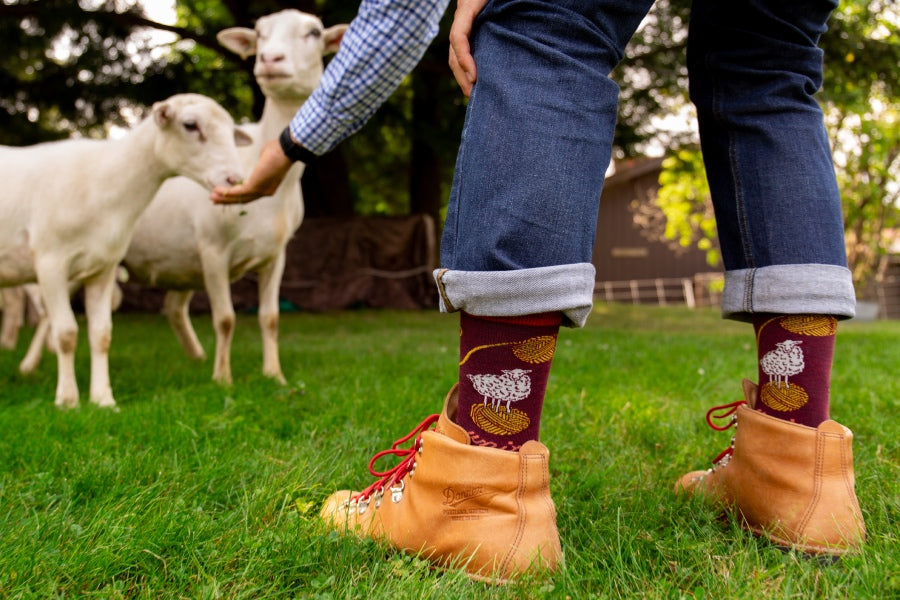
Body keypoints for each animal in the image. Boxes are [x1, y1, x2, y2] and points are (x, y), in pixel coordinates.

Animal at [0, 94, 251, 410]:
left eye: (231, 131)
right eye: (190, 125)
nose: (234, 180)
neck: (105, 183)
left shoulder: (103, 268)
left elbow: (102, 334)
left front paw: (103, 399)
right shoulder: (50, 261)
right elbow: (67, 333)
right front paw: (68, 400)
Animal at [125, 11, 350, 386]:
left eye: (314, 33)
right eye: (259, 34)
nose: (270, 59)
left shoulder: (276, 255)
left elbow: (270, 317)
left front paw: (274, 374)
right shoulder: (213, 249)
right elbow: (226, 318)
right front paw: (222, 379)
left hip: (180, 260)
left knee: (173, 308)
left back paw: (196, 358)